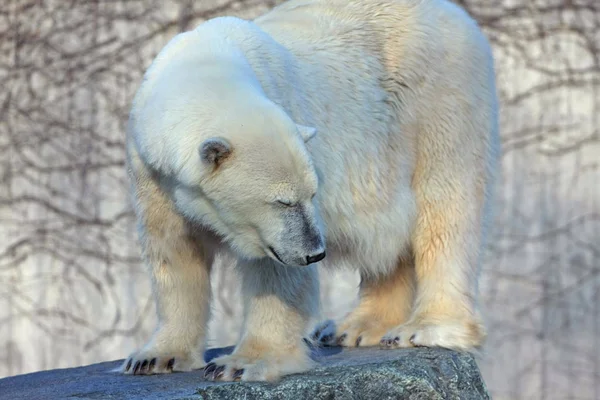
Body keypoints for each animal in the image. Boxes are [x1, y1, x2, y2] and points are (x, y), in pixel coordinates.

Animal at [120, 0, 496, 382]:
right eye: (283, 201)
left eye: (311, 195)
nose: (315, 253)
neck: (206, 61)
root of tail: (455, 14)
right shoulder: (151, 172)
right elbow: (175, 252)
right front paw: (156, 357)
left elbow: (276, 273)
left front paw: (241, 363)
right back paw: (353, 327)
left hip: (437, 102)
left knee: (446, 209)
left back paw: (424, 328)